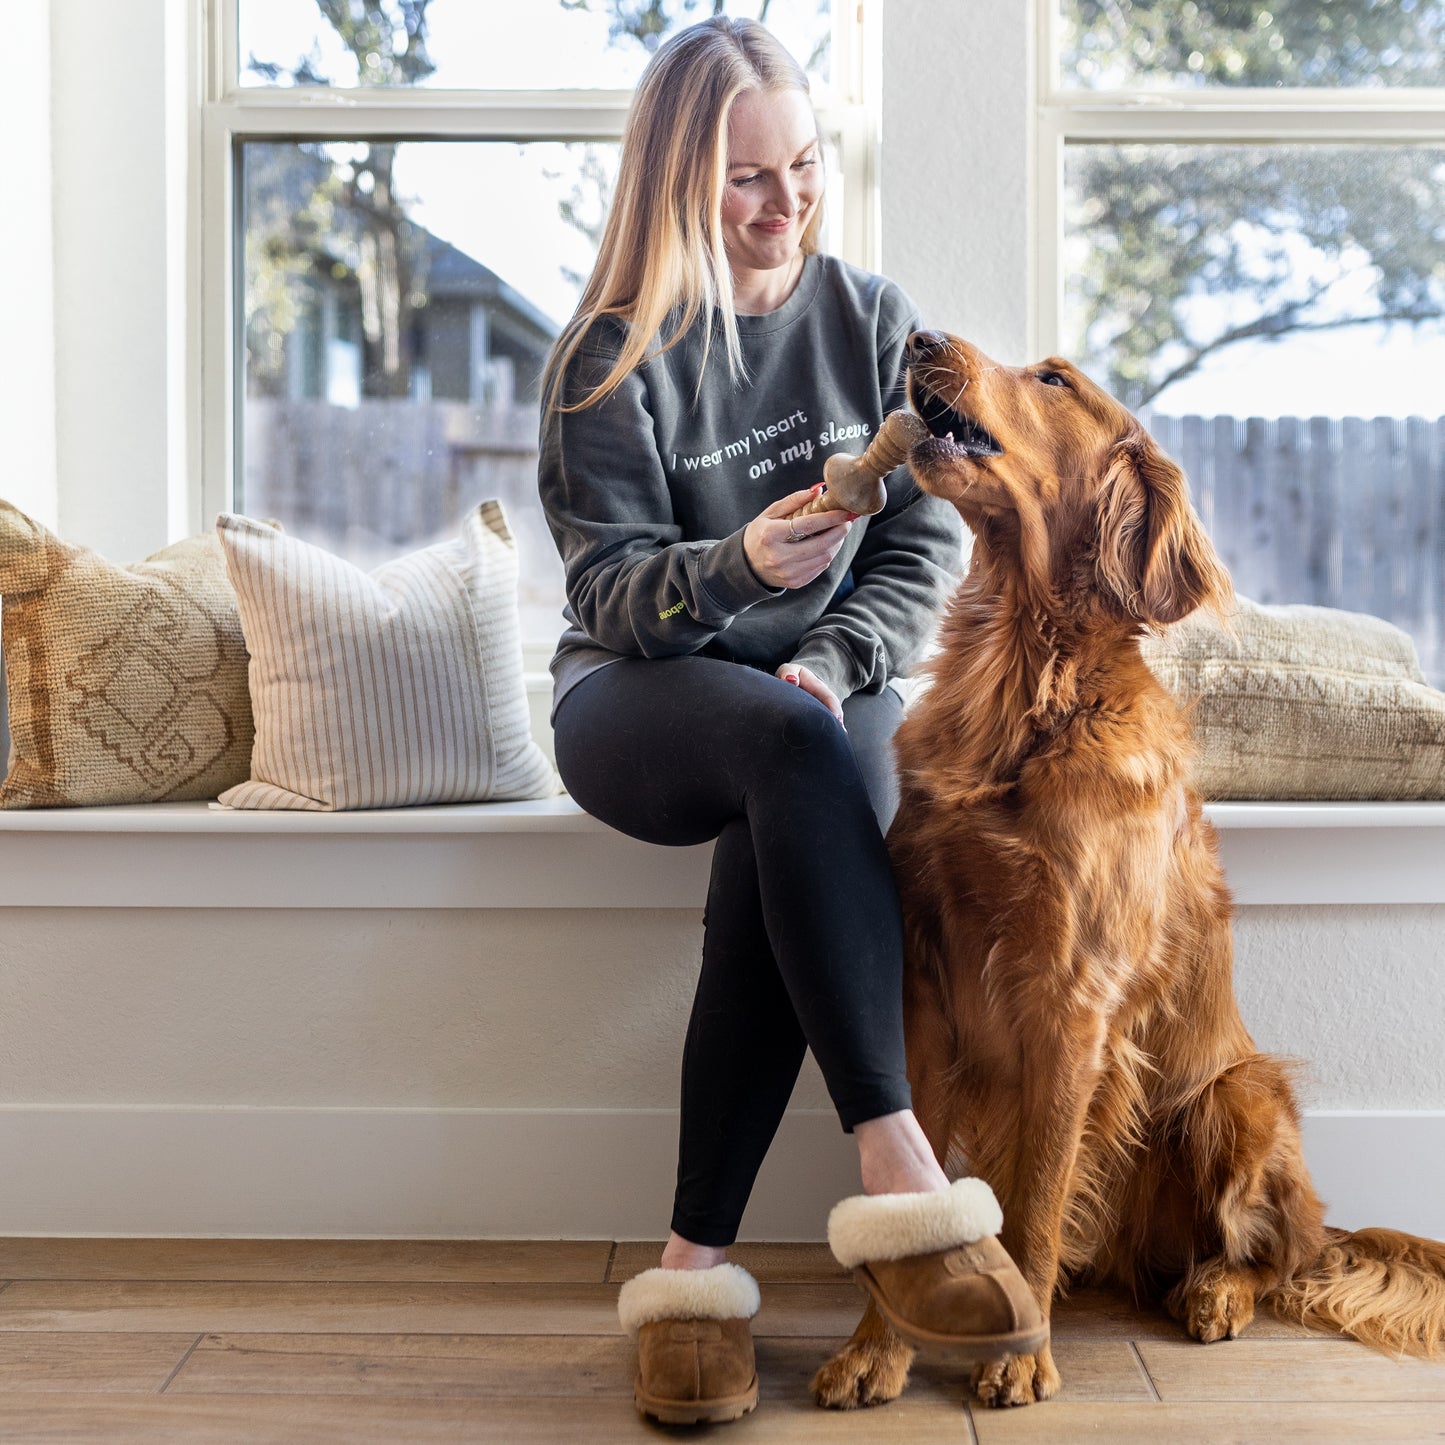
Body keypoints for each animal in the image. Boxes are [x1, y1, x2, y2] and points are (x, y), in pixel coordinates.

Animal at [814, 330, 1445, 1410]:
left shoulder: (1070, 1001)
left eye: (1053, 380)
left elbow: (1030, 1207)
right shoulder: (922, 988)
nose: (919, 338)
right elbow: (915, 1191)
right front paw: (875, 1348)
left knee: (1276, 1255)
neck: (1021, 680)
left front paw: (1019, 1354)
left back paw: (1216, 1292)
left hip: (1236, 1098)